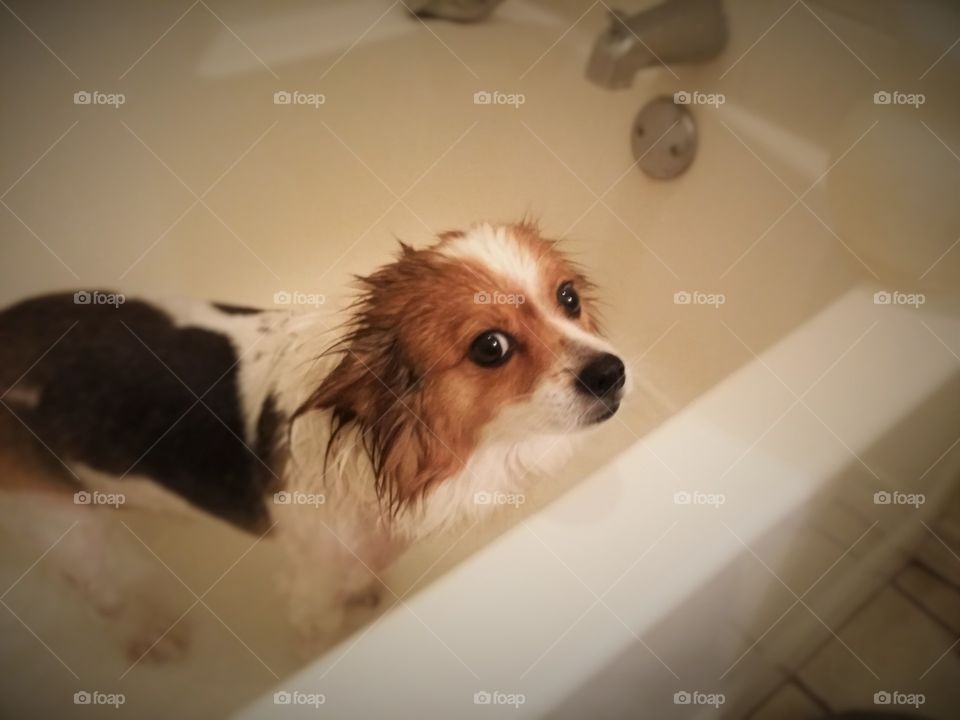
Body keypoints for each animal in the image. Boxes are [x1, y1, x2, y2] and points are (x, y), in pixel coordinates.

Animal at [0, 222, 632, 660]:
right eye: (491, 347)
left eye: (568, 298)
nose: (611, 372)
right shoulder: (312, 588)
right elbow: (318, 633)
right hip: (63, 525)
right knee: (102, 591)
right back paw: (149, 635)